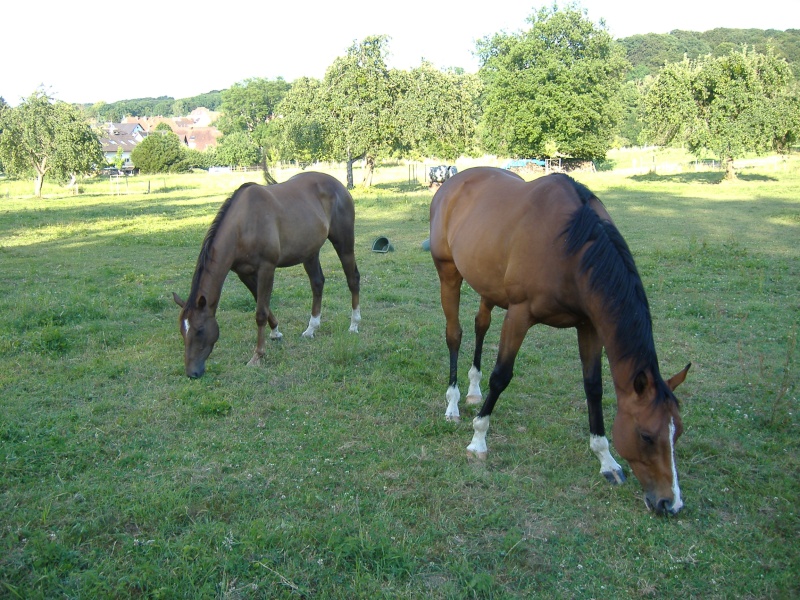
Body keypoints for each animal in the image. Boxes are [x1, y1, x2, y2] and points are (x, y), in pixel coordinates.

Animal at [176, 173, 366, 378]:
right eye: (182, 331)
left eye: (200, 330)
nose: (192, 372)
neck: (243, 225)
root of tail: (338, 185)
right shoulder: (244, 273)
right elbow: (263, 304)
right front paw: (276, 332)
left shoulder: (267, 268)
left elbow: (260, 312)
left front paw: (257, 356)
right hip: (310, 252)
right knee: (317, 283)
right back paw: (311, 329)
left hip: (344, 243)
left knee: (353, 279)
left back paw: (354, 324)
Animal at [428, 166, 692, 512]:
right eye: (647, 436)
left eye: (677, 433)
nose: (670, 503)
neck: (570, 247)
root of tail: (453, 182)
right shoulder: (519, 315)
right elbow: (501, 376)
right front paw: (478, 439)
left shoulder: (589, 326)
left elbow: (593, 387)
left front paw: (606, 460)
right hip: (449, 274)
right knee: (454, 335)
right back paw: (453, 404)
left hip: (488, 286)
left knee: (480, 326)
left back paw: (473, 390)